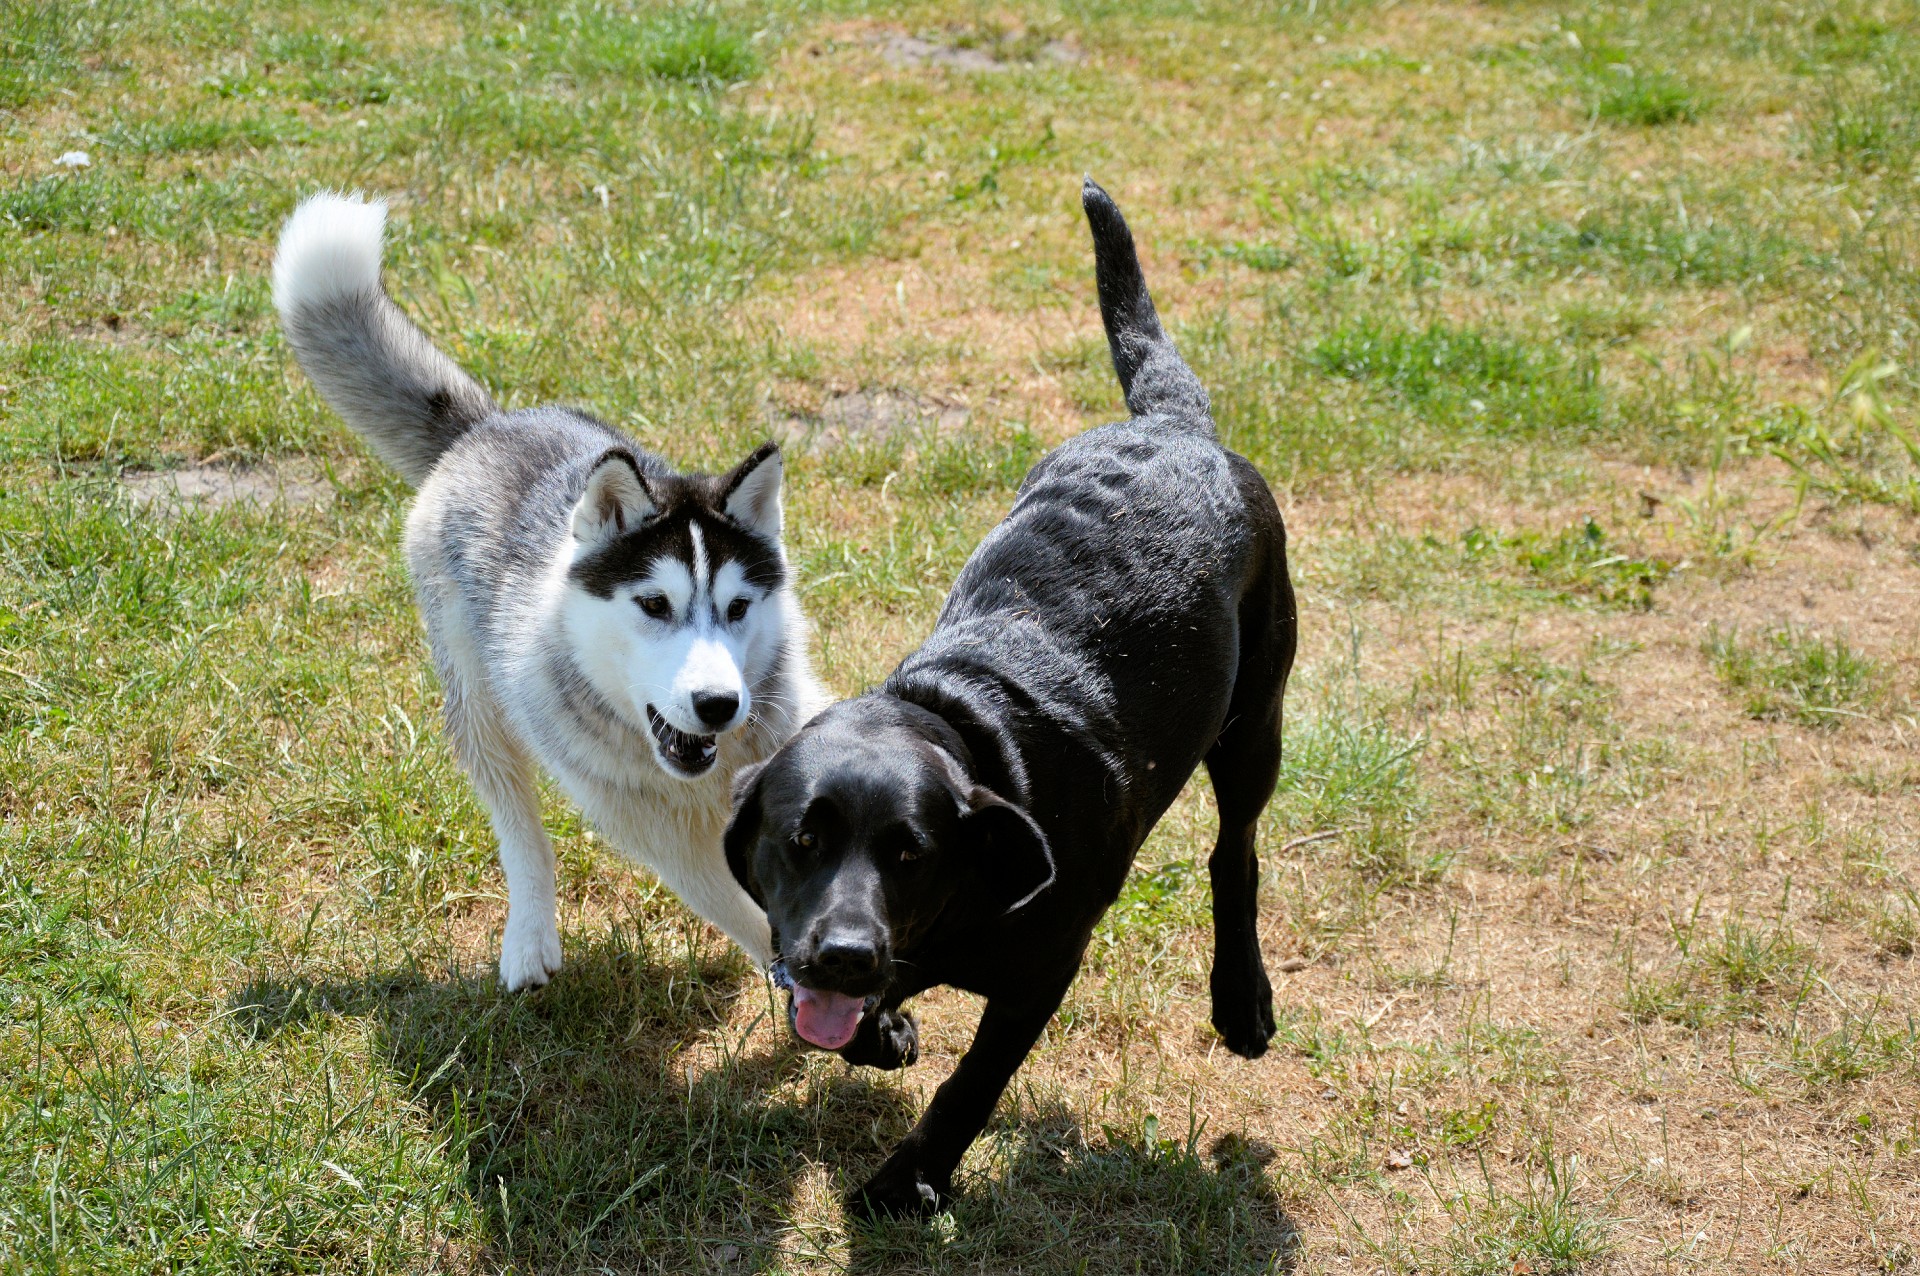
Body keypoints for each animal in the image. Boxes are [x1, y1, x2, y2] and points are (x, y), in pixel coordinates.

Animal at [276, 191, 825, 982]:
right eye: (654, 605)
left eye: (739, 607)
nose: (719, 705)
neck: (702, 775)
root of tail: (486, 427)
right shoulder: (662, 838)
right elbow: (751, 918)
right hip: (480, 706)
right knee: (519, 828)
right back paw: (529, 936)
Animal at [725, 181, 1297, 1212]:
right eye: (801, 841)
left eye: (910, 853)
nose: (844, 954)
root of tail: (1173, 424)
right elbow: (857, 1024)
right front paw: (886, 1034)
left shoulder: (1040, 976)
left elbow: (970, 1085)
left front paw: (903, 1187)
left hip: (1254, 721)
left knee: (1235, 854)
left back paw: (1242, 999)